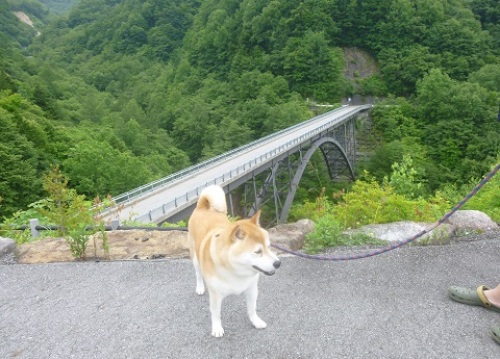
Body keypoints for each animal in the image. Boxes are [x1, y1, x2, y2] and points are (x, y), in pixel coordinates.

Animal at [188, 186, 282, 338]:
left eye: (269, 246)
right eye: (258, 251)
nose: (278, 263)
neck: (236, 272)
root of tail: (203, 206)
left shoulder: (251, 289)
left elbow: (252, 309)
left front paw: (256, 321)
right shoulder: (215, 295)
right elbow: (216, 313)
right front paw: (217, 328)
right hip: (195, 257)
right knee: (198, 274)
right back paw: (200, 287)